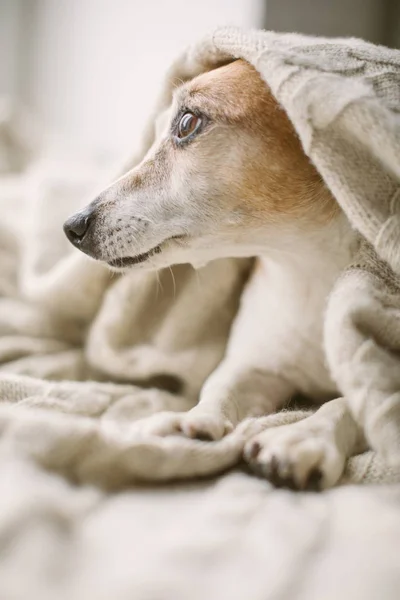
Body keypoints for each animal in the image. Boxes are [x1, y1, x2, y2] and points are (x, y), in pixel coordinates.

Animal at [62, 58, 366, 490]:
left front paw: (302, 436)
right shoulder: (257, 363)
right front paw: (193, 421)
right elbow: (220, 386)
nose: (72, 226)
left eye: (187, 122)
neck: (305, 269)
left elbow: (346, 404)